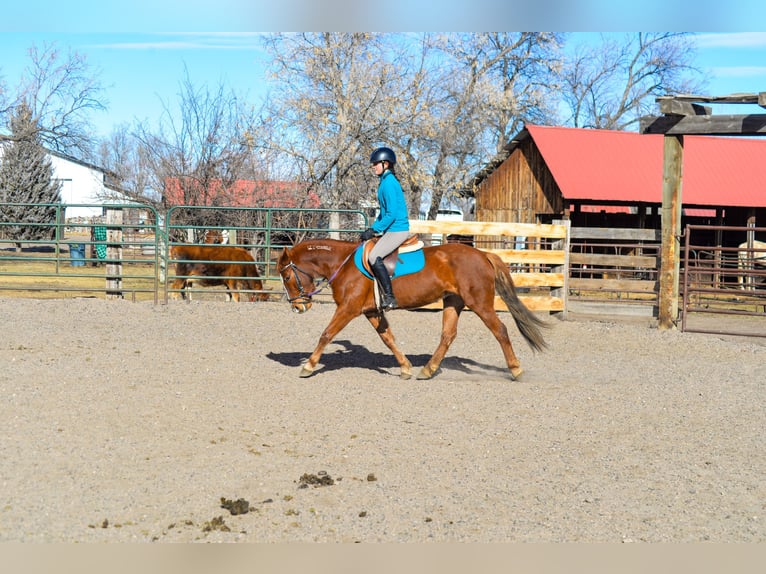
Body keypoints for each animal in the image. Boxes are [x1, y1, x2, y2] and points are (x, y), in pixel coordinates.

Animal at [277, 238, 548, 381]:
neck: (343, 266)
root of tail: (483, 254)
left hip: (479, 303)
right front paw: (405, 367)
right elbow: (388, 339)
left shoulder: (348, 309)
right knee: (448, 335)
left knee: (500, 330)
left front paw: (309, 366)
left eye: (287, 276)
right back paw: (428, 369)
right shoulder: (371, 311)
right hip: (453, 301)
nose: (298, 307)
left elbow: (326, 334)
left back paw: (515, 369)